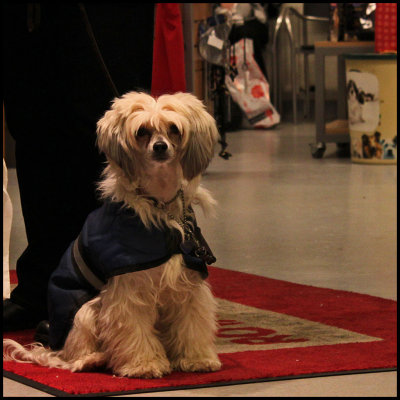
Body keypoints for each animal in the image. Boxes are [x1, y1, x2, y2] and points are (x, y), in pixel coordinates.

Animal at [3, 90, 222, 378]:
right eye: (142, 131)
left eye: (174, 128)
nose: (160, 147)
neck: (160, 205)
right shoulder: (127, 289)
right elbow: (133, 329)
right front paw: (144, 364)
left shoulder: (188, 285)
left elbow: (192, 324)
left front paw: (196, 358)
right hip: (85, 309)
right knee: (70, 354)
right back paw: (91, 359)